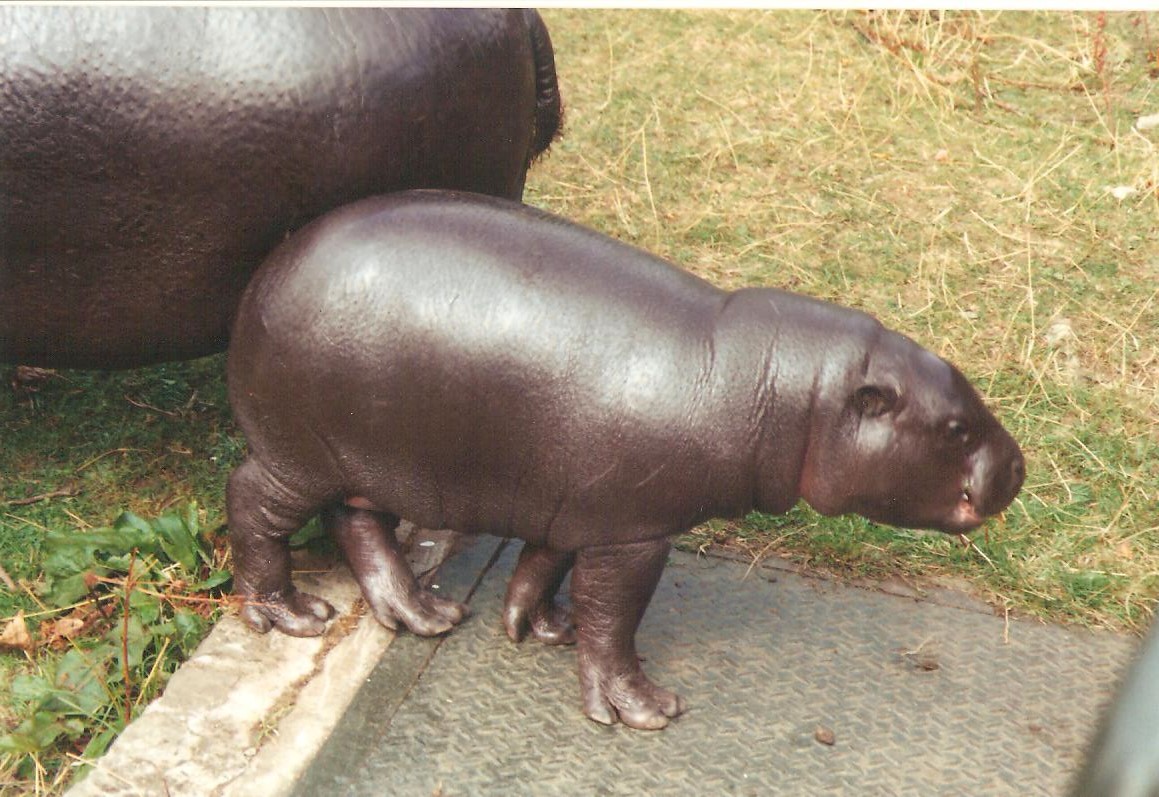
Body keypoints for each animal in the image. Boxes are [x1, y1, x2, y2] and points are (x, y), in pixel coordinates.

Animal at [226, 190, 1025, 729]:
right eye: (955, 427)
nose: (1018, 467)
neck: (780, 387)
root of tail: (269, 265)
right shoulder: (632, 532)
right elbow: (614, 617)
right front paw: (643, 708)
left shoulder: (573, 506)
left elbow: (542, 567)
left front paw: (540, 629)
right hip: (298, 455)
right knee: (251, 500)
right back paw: (292, 613)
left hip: (362, 460)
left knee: (358, 522)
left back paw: (426, 614)